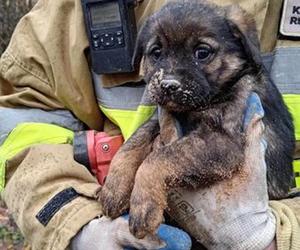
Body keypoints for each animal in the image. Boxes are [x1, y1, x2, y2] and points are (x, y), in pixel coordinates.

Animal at [99, 1, 296, 240]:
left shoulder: (222, 141)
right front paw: (113, 188)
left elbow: (158, 159)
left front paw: (143, 206)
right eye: (156, 52)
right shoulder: (163, 117)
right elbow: (134, 141)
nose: (168, 85)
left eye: (202, 53)